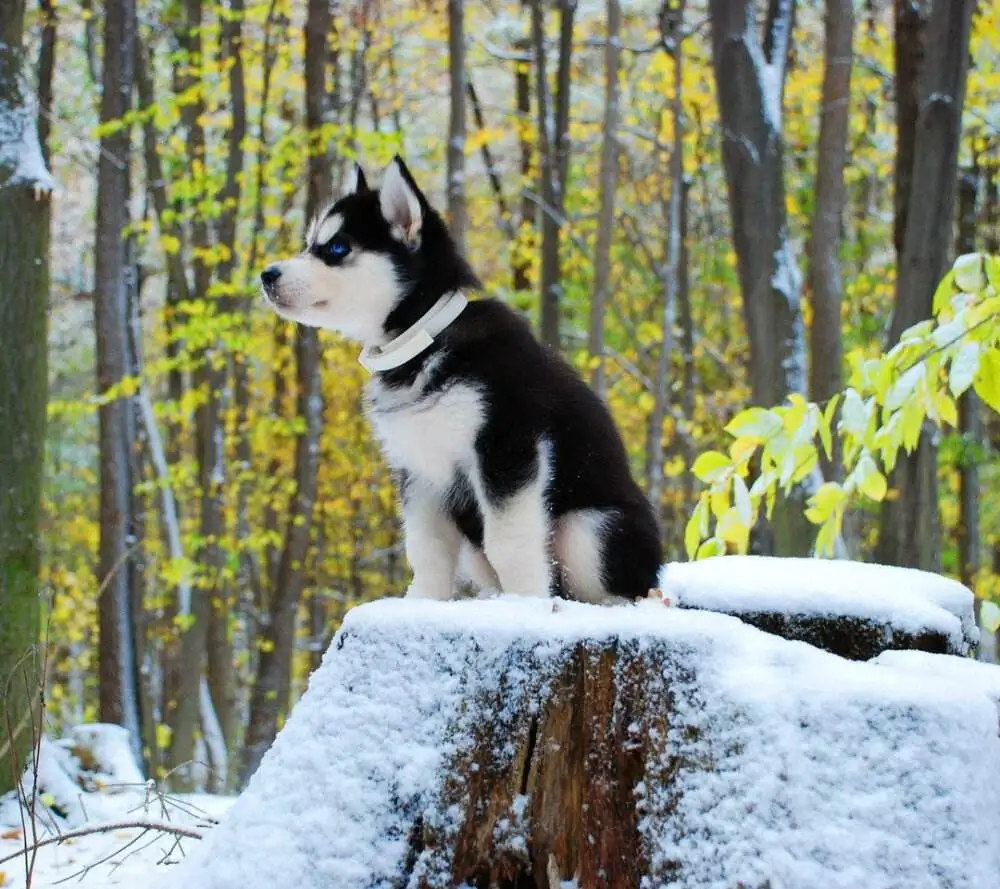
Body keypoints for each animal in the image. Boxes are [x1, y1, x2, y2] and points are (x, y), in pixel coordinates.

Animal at [262, 158, 660, 604]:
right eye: (310, 244)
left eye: (336, 249)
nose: (266, 274)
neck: (423, 343)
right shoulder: (420, 470)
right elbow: (426, 548)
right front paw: (422, 601)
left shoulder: (507, 448)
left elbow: (508, 544)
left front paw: (526, 603)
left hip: (589, 527)